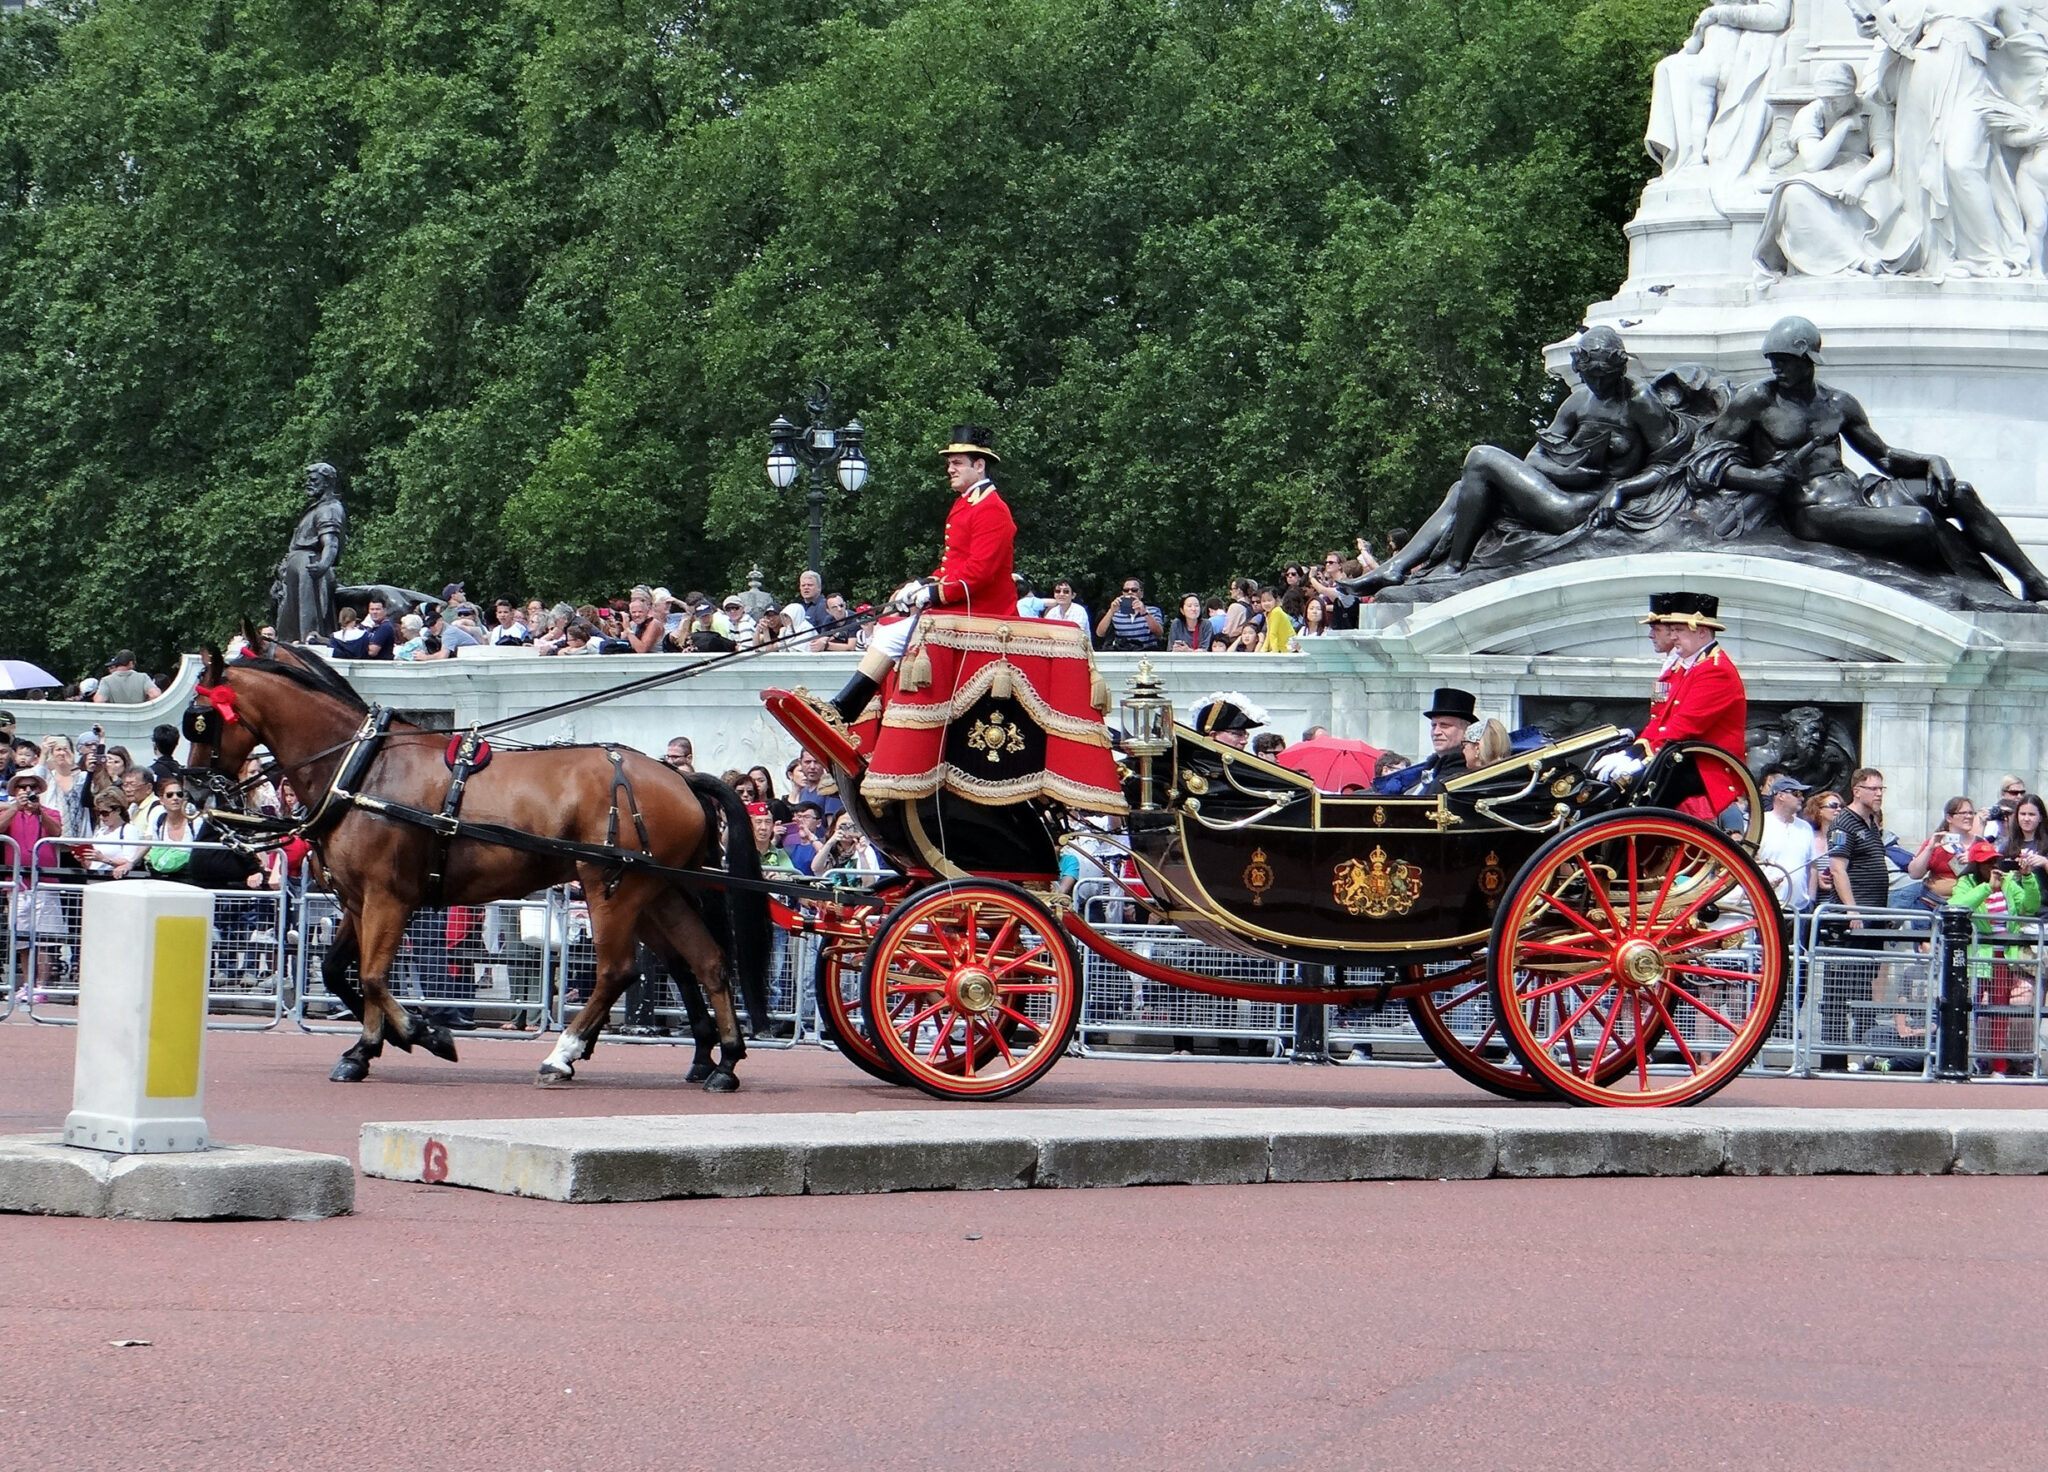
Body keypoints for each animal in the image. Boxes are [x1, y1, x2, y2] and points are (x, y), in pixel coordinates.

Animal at [186, 638, 770, 1089]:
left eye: (200, 721)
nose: (191, 789)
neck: (362, 771)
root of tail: (678, 778)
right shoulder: (357, 900)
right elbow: (337, 971)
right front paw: (373, 1045)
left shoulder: (390, 898)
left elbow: (372, 975)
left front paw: (421, 1034)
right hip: (659, 890)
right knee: (706, 961)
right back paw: (724, 1062)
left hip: (613, 889)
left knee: (618, 970)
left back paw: (563, 1053)